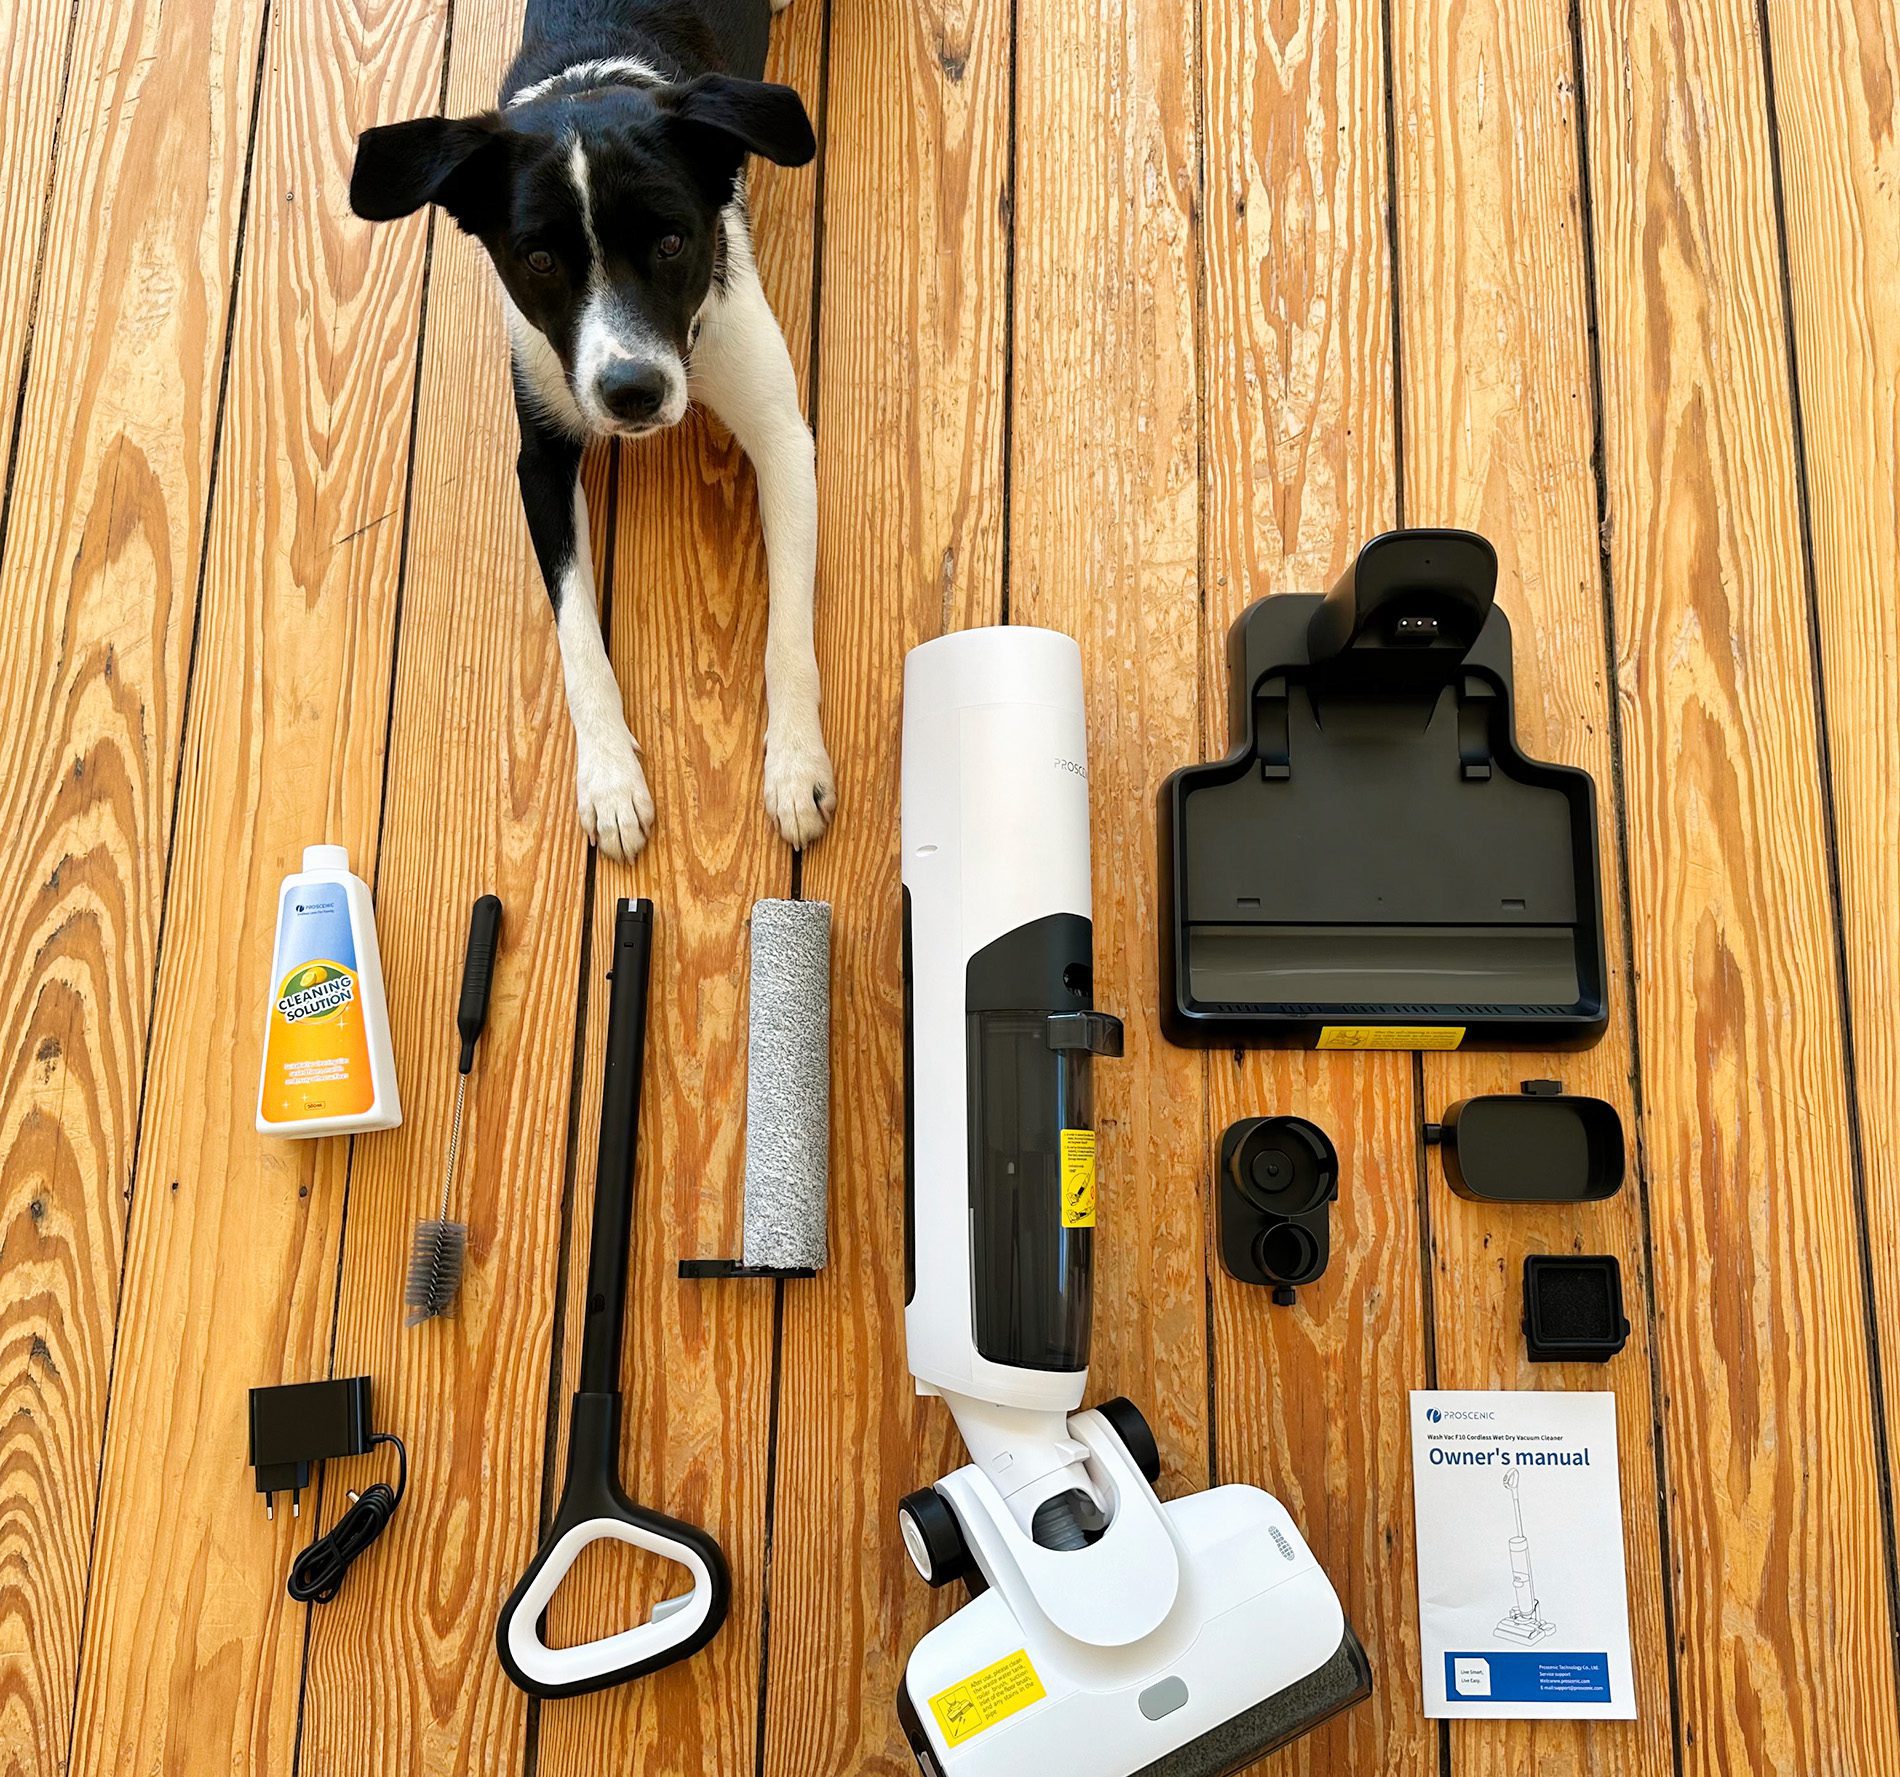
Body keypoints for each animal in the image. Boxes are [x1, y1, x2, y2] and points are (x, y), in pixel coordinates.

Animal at [350, 0, 834, 859]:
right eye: (540, 259)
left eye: (673, 241)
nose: (632, 392)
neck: (590, 80)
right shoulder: (542, 451)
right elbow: (575, 628)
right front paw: (610, 781)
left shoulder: (782, 435)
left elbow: (788, 625)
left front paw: (795, 767)